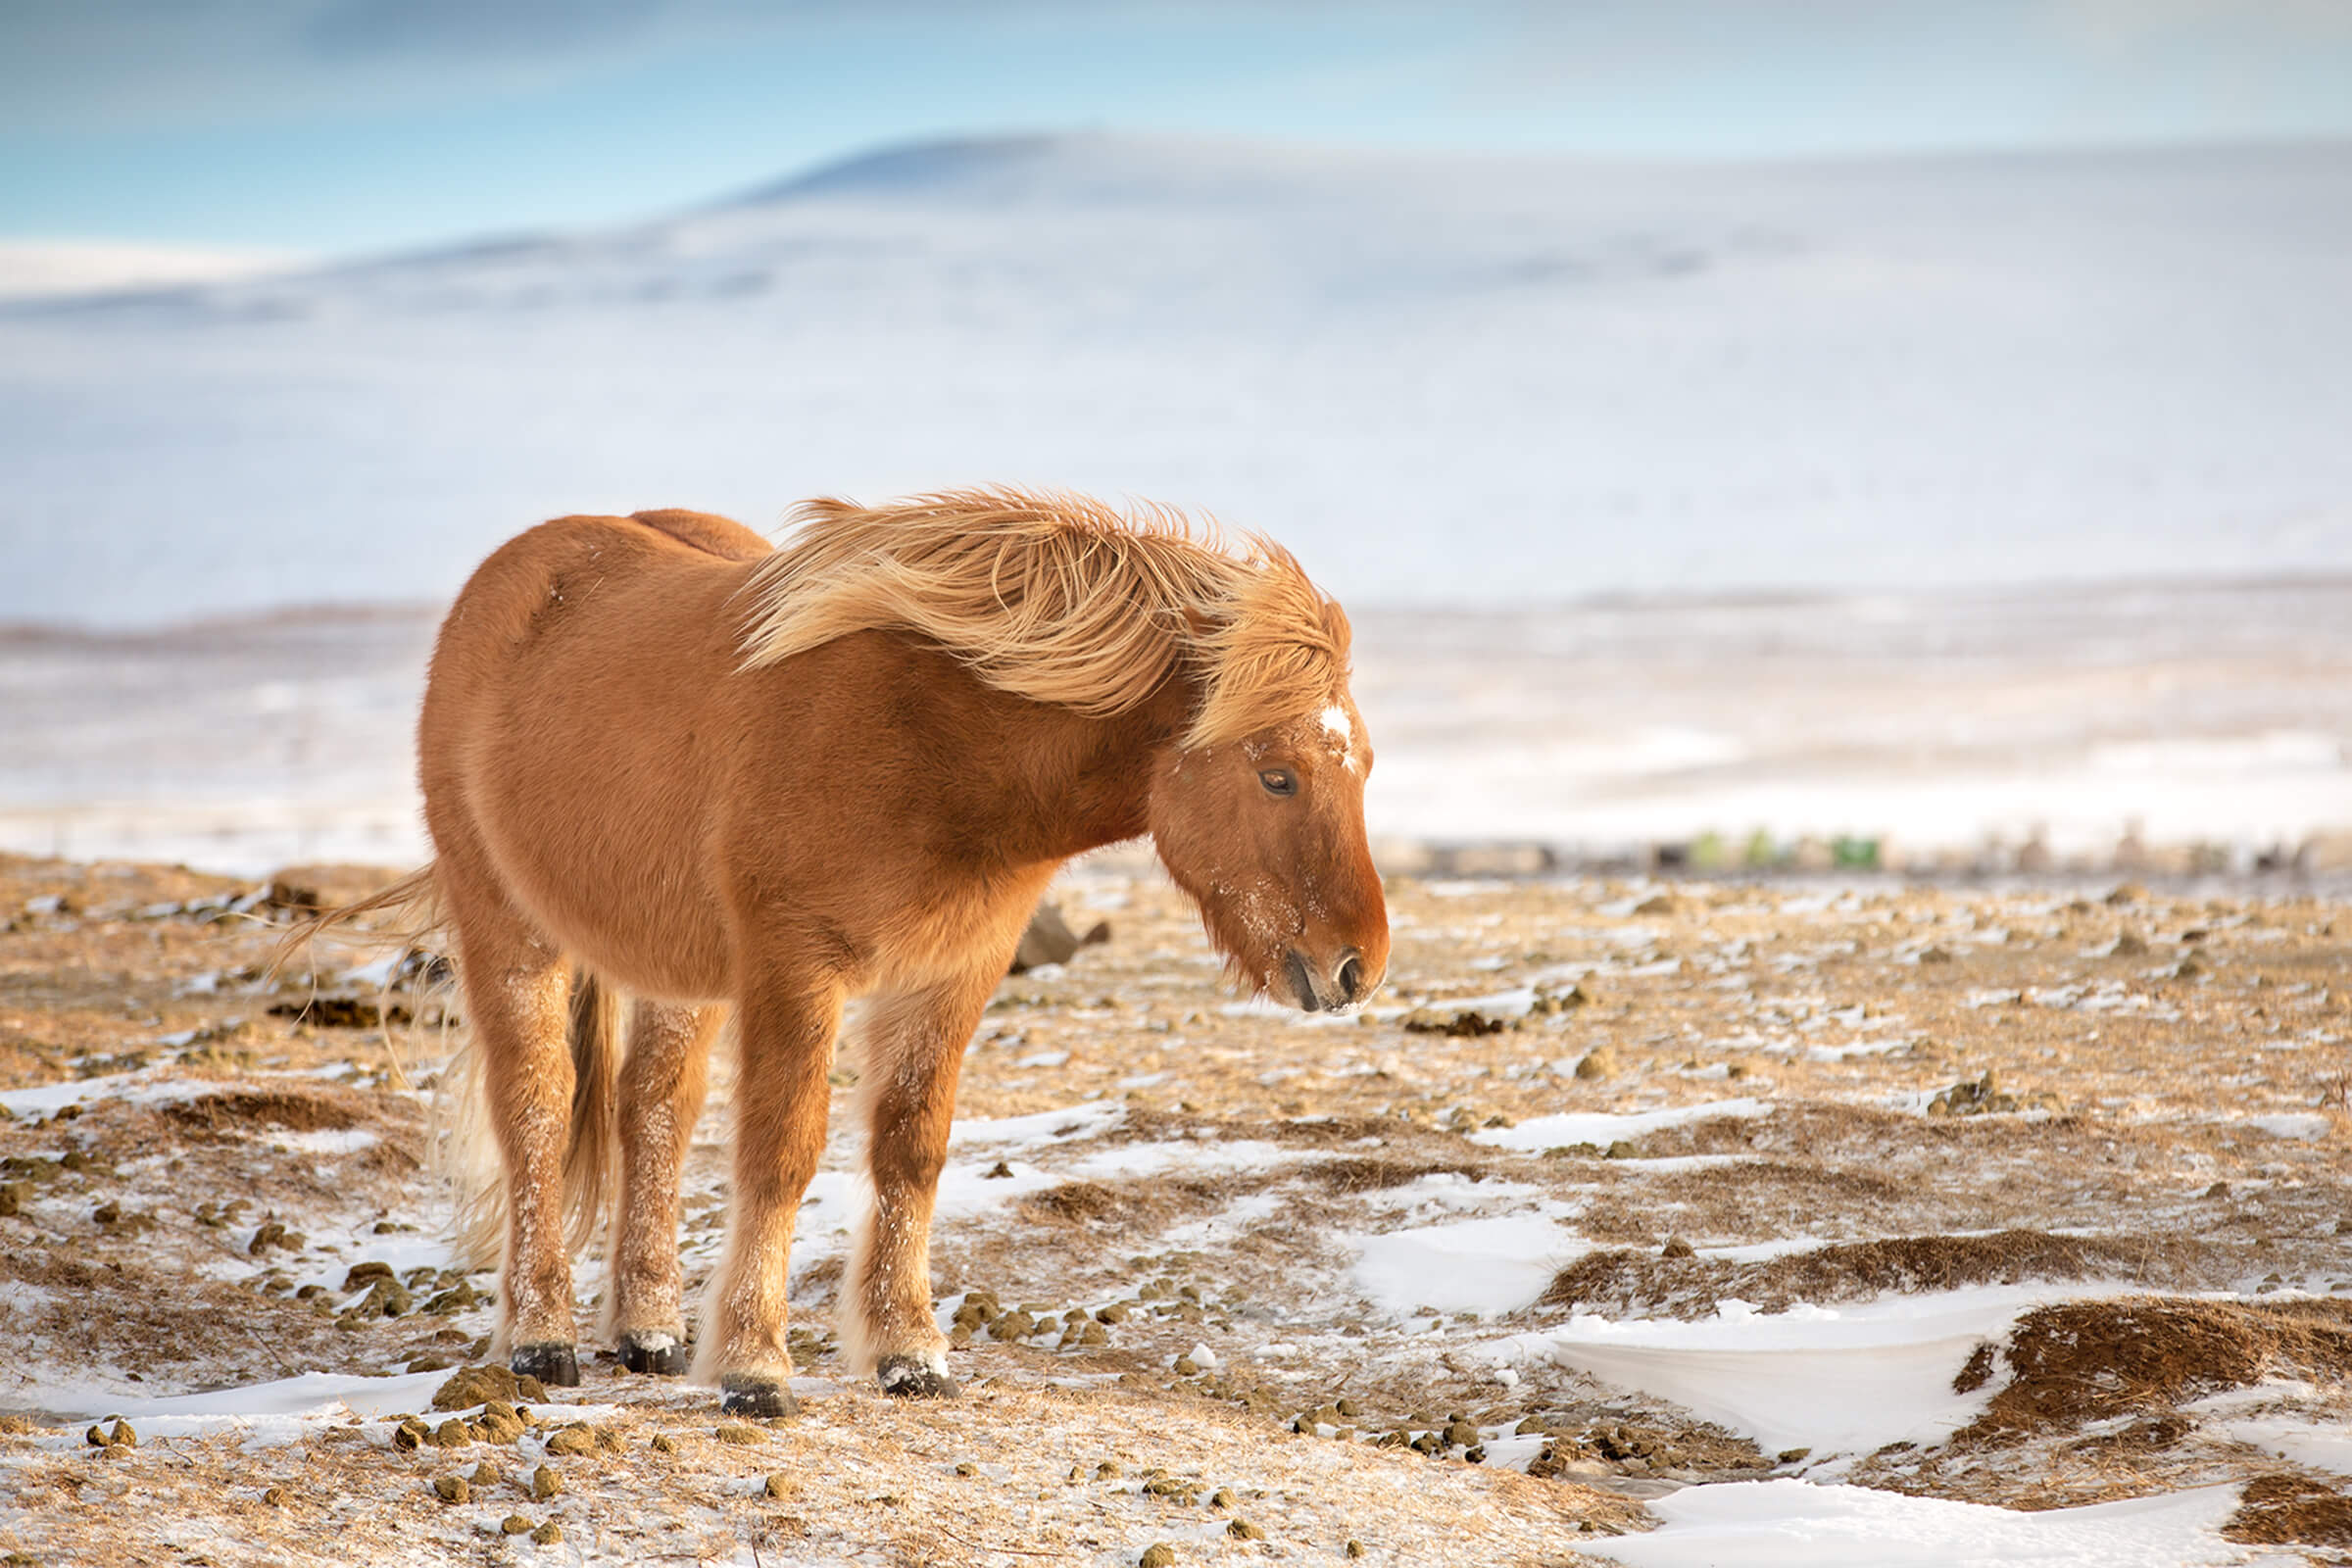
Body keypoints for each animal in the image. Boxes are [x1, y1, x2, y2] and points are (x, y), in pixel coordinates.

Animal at [299, 488, 1388, 1418]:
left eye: (1364, 766)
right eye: (1278, 774)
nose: (1357, 966)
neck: (929, 740)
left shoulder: (951, 977)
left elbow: (911, 1149)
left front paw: (909, 1352)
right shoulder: (797, 967)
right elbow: (780, 1153)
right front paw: (754, 1368)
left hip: (675, 975)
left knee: (652, 1113)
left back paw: (650, 1331)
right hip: (509, 930)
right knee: (535, 1108)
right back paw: (541, 1339)